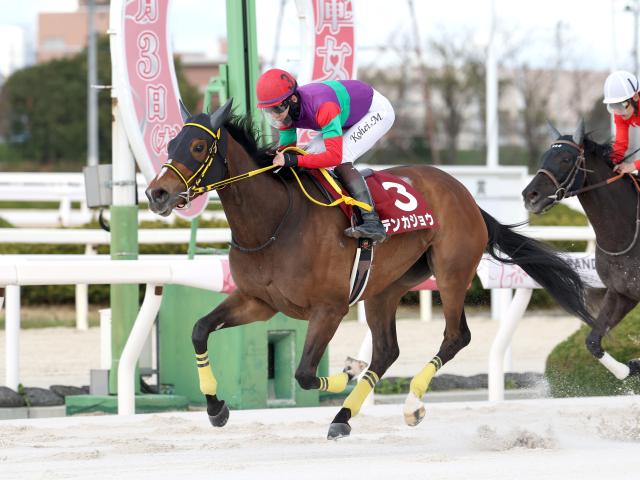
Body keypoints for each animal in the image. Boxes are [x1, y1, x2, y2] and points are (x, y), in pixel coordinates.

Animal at [146, 99, 594, 439]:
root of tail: (464, 193)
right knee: (387, 350)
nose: (157, 194)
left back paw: (410, 404)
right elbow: (199, 329)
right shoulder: (258, 301)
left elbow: (304, 373)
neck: (274, 222)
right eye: (171, 142)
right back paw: (343, 417)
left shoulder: (329, 308)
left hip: (451, 272)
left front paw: (344, 374)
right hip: (384, 287)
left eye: (199, 147)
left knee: (455, 336)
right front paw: (216, 408)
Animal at [522, 119, 640, 380]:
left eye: (566, 159)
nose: (529, 195)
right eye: (545, 156)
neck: (624, 236)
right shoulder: (621, 293)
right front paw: (627, 369)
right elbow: (593, 342)